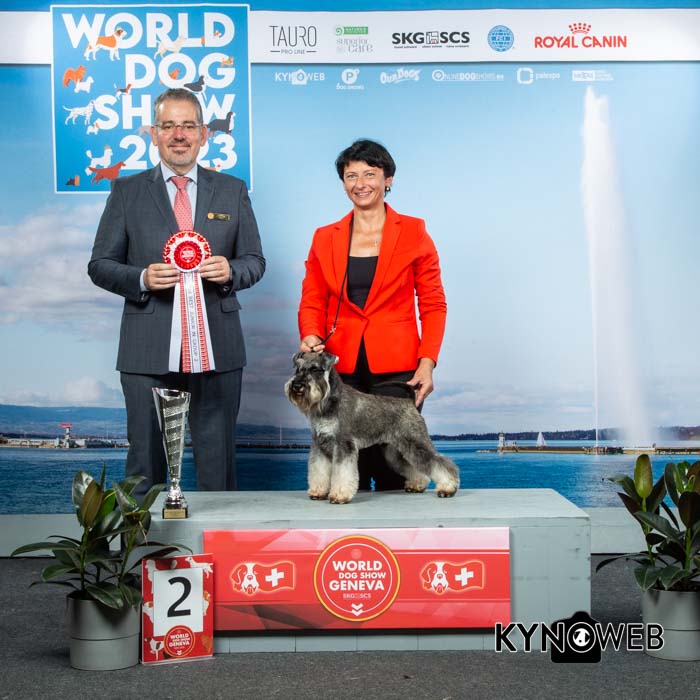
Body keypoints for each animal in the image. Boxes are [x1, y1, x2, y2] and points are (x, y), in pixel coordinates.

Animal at [284, 352, 459, 504]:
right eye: (298, 368)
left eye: (315, 369)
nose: (297, 385)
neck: (329, 402)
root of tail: (409, 401)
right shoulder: (320, 445)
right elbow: (318, 470)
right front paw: (318, 491)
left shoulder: (343, 445)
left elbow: (342, 472)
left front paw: (339, 495)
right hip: (396, 451)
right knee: (413, 466)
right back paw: (416, 485)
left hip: (416, 442)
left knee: (439, 462)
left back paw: (447, 488)